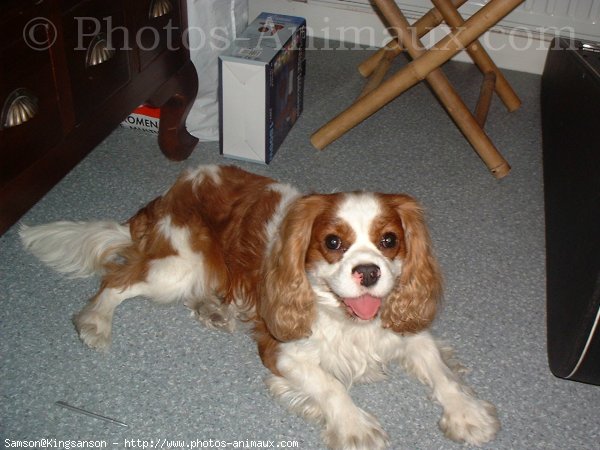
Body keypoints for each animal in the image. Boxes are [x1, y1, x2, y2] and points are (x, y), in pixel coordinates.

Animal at [21, 166, 500, 450]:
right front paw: (356, 428)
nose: (368, 271)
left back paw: (212, 310)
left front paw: (467, 414)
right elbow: (331, 386)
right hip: (175, 267)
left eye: (389, 240)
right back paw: (96, 322)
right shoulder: (282, 349)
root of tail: (174, 188)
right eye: (332, 243)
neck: (345, 319)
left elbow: (441, 373)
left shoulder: (407, 331)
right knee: (117, 281)